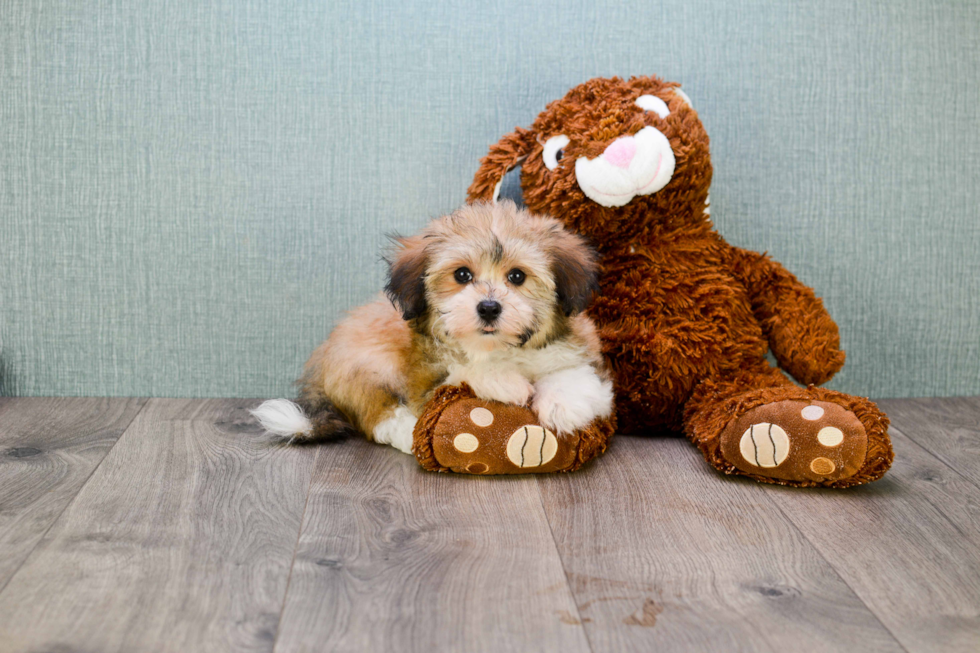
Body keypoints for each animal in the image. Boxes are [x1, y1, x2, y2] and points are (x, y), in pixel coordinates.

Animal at [256, 200, 616, 454]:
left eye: (517, 276)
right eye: (462, 275)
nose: (488, 308)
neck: (498, 349)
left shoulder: (582, 353)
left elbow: (578, 376)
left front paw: (563, 405)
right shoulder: (425, 377)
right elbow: (459, 372)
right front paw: (504, 381)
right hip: (367, 365)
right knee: (376, 415)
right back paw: (406, 433)